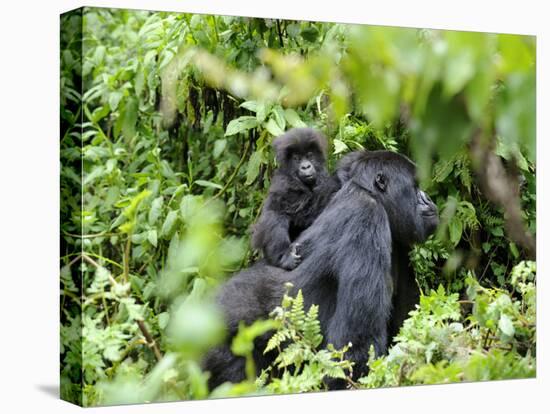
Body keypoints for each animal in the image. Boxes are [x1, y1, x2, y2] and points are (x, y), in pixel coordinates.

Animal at [252, 129, 338, 272]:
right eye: (296, 159)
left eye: (309, 155)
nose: (306, 166)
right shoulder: (284, 184)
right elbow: (300, 213)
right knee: (275, 217)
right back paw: (283, 256)